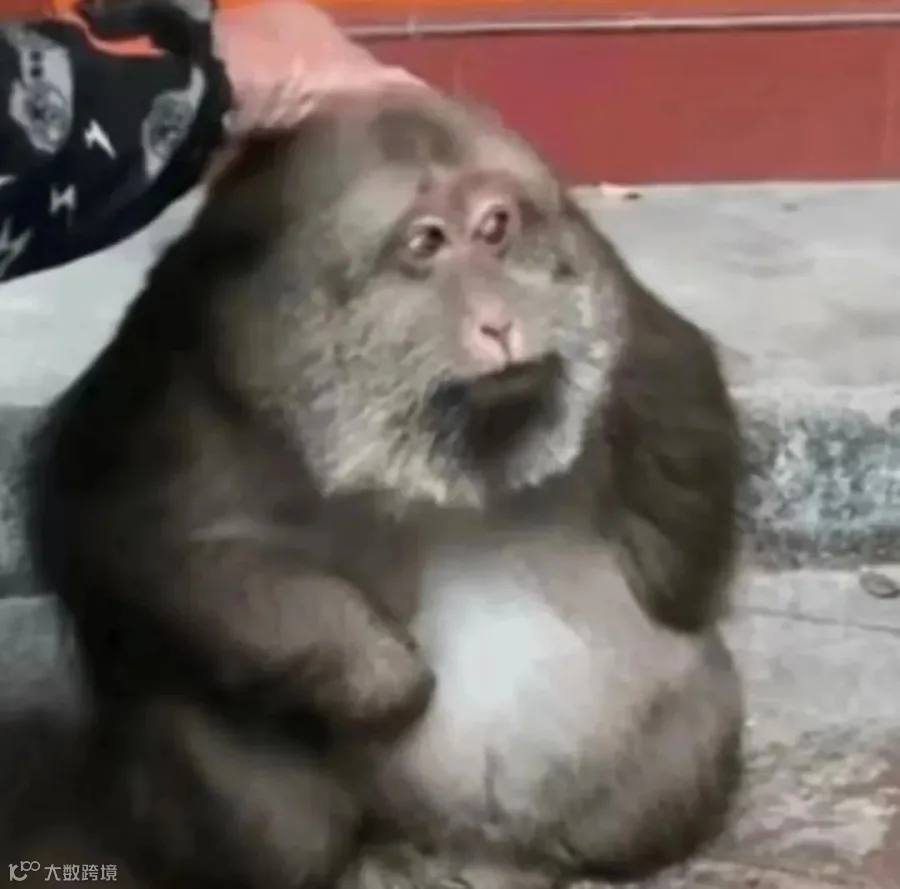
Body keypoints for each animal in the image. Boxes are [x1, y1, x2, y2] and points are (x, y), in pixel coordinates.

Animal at [19, 86, 744, 888]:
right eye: (426, 245)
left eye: (496, 228)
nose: (500, 321)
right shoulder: (179, 353)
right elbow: (121, 531)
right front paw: (381, 672)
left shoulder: (606, 290)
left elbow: (679, 428)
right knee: (208, 735)